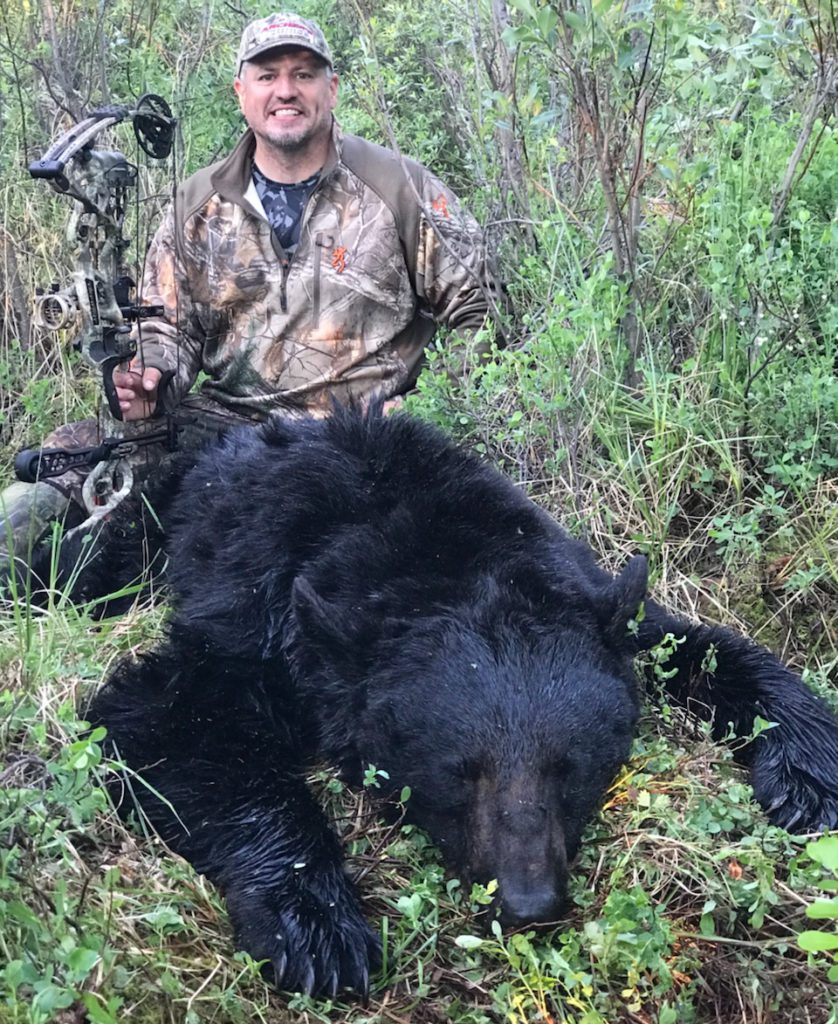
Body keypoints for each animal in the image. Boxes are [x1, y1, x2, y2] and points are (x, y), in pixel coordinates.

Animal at [67, 407, 835, 999]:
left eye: (572, 767)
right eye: (458, 772)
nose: (529, 902)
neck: (436, 554)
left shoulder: (585, 596)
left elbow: (702, 646)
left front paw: (809, 775)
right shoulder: (255, 619)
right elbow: (168, 717)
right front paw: (317, 928)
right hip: (151, 520)